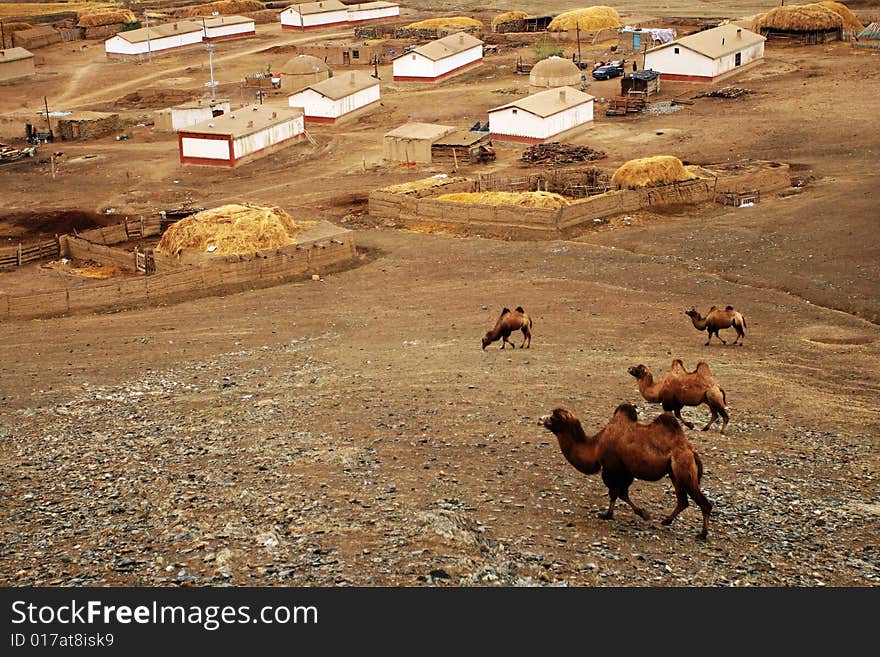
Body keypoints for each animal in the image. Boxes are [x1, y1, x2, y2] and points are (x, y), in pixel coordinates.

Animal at [540, 404, 712, 540]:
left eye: (553, 417)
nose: (541, 419)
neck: (596, 446)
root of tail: (691, 451)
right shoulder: (626, 471)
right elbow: (622, 493)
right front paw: (643, 513)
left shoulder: (611, 468)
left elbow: (614, 493)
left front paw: (607, 515)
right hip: (674, 472)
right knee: (683, 500)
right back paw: (666, 521)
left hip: (683, 467)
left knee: (704, 503)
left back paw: (702, 534)